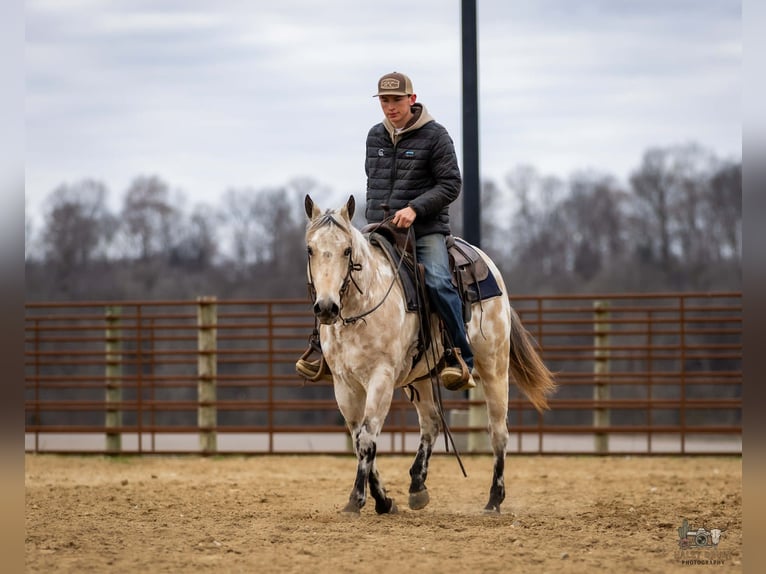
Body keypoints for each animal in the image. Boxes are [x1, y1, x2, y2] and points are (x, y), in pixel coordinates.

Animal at [303, 194, 555, 514]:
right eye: (310, 249)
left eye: (347, 250)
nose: (326, 307)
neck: (362, 306)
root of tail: (489, 266)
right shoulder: (343, 383)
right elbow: (358, 438)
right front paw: (383, 500)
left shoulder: (381, 377)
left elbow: (368, 437)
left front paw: (356, 499)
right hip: (421, 377)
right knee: (433, 422)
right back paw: (417, 485)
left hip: (494, 365)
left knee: (498, 431)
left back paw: (494, 499)